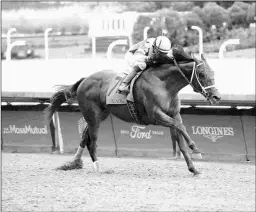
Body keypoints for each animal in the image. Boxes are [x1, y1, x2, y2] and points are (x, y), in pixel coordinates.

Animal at [44, 51, 220, 176]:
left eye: (213, 73)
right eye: (202, 75)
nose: (216, 97)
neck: (164, 84)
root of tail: (85, 79)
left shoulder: (173, 114)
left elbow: (180, 137)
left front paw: (193, 169)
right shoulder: (156, 115)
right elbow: (180, 127)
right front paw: (195, 149)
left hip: (100, 115)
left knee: (84, 136)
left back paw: (74, 163)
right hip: (93, 116)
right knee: (91, 142)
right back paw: (97, 168)